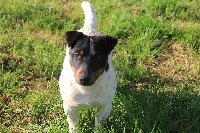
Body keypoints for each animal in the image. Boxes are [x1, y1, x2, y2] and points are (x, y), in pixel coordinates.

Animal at [58, 1, 117, 132]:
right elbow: (74, 126)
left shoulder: (105, 107)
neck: (86, 90)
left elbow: (99, 125)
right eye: (76, 55)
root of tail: (89, 29)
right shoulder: (70, 108)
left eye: (98, 57)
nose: (84, 79)